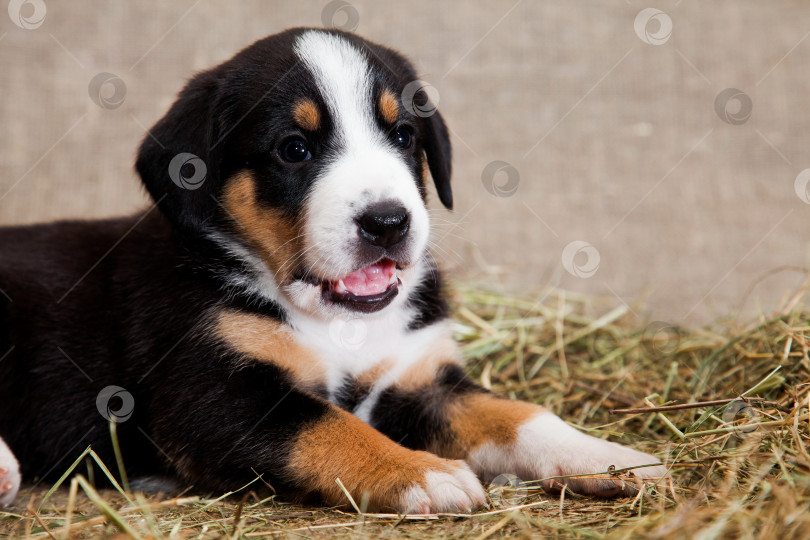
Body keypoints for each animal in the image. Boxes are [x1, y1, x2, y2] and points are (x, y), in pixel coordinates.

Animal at [0, 27, 664, 512]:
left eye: (404, 135)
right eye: (295, 148)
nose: (388, 221)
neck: (337, 320)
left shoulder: (418, 379)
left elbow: (516, 415)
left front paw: (606, 456)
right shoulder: (216, 394)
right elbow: (329, 427)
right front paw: (423, 473)